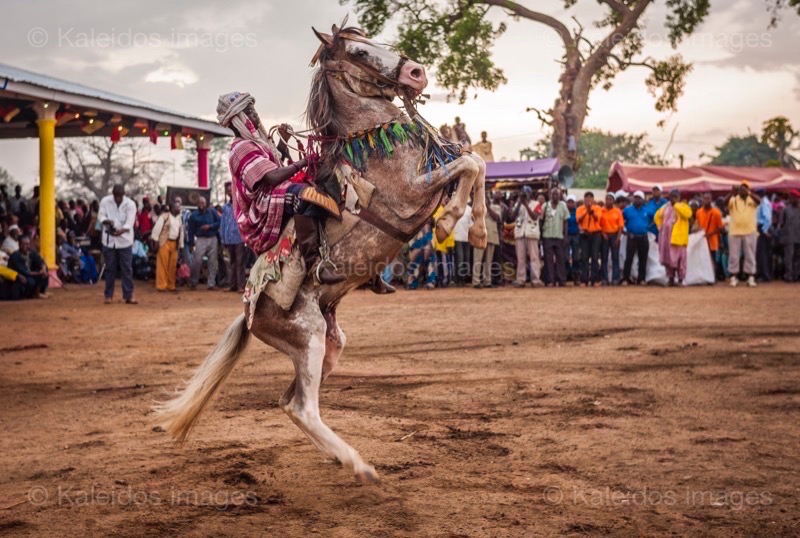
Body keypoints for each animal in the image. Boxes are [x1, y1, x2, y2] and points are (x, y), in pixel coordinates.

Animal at [152, 23, 484, 482]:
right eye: (359, 52)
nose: (416, 72)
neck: (370, 144)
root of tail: (250, 312)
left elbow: (476, 165)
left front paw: (480, 229)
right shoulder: (413, 192)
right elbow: (468, 166)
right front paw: (449, 221)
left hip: (329, 343)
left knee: (289, 402)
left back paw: (338, 457)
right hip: (307, 336)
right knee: (302, 406)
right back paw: (359, 465)